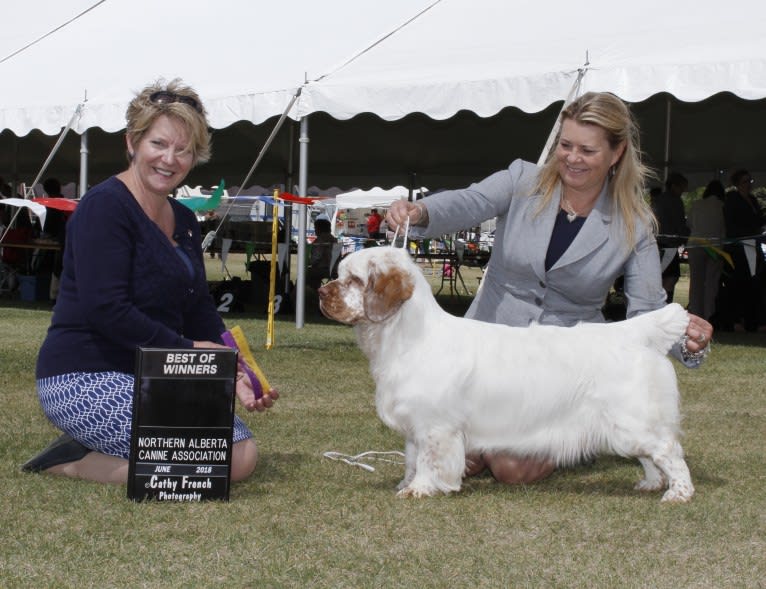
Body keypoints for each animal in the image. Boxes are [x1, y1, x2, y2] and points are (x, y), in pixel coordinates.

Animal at [318, 246, 696, 504]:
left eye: (354, 280)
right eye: (340, 275)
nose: (321, 291)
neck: (407, 338)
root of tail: (633, 332)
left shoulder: (436, 427)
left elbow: (428, 462)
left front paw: (419, 490)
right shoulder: (414, 426)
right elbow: (411, 459)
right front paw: (405, 483)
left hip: (634, 421)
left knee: (670, 452)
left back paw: (679, 493)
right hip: (627, 429)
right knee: (650, 457)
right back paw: (650, 483)